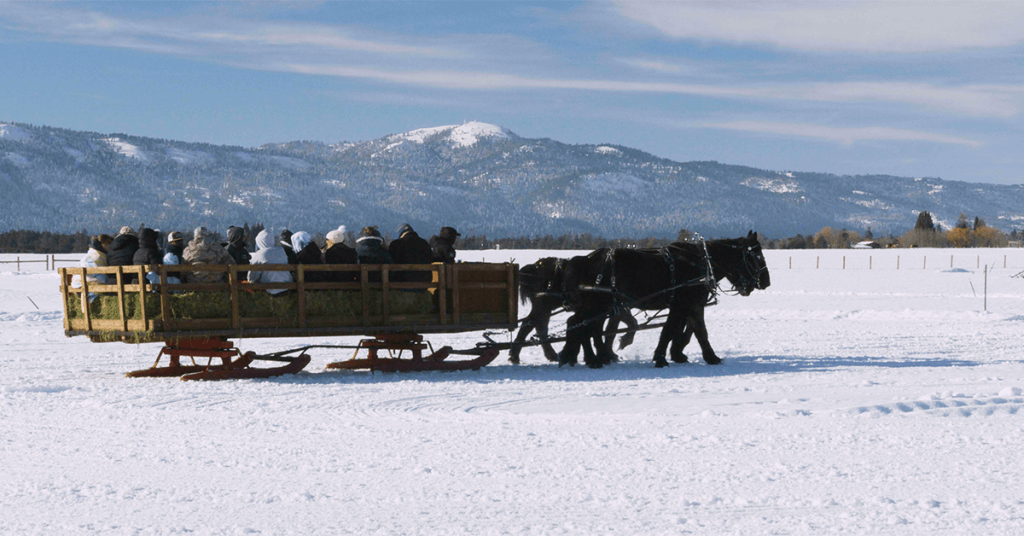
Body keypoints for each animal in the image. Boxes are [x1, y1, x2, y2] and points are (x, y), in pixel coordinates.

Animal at [561, 232, 770, 370]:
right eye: (756, 255)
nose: (766, 281)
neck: (703, 263)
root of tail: (586, 258)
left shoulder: (693, 306)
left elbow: (699, 332)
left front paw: (709, 357)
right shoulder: (681, 305)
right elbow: (670, 330)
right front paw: (662, 358)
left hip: (600, 305)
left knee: (586, 327)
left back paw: (585, 357)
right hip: (598, 304)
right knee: (578, 323)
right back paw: (586, 358)